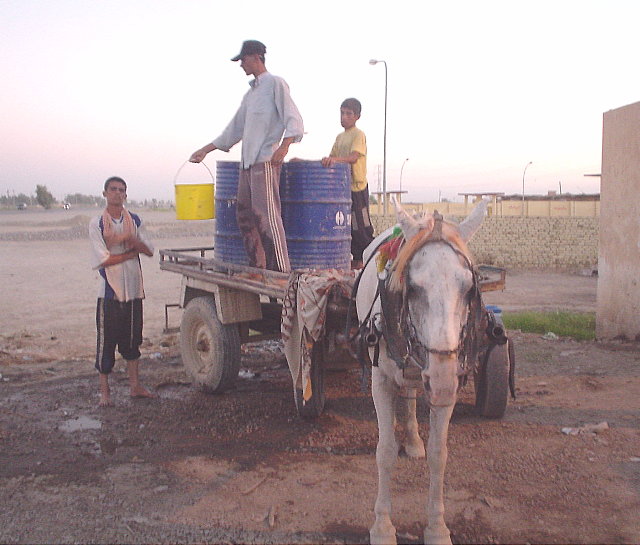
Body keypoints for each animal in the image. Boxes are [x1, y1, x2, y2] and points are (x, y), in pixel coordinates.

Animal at [358, 201, 488, 544]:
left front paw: (437, 527)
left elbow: (439, 455)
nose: (441, 383)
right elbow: (385, 452)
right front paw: (382, 526)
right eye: (413, 288)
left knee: (412, 393)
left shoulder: (447, 382)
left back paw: (414, 440)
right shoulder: (380, 381)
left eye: (469, 288)